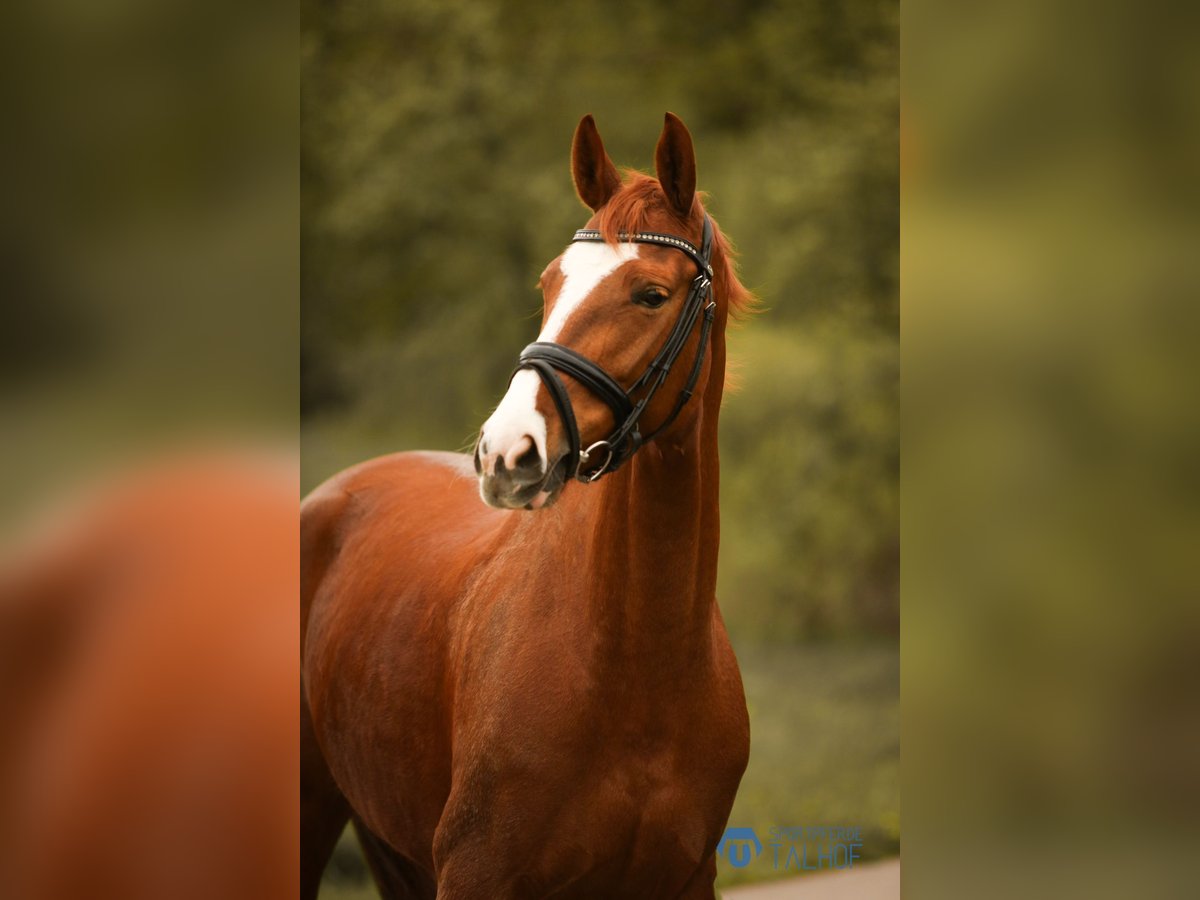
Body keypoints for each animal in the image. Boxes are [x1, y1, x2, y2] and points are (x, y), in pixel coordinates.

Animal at [300, 114, 748, 900]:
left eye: (651, 295)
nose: (506, 453)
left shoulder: (687, 880)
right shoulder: (477, 873)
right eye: (550, 282)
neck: (639, 669)